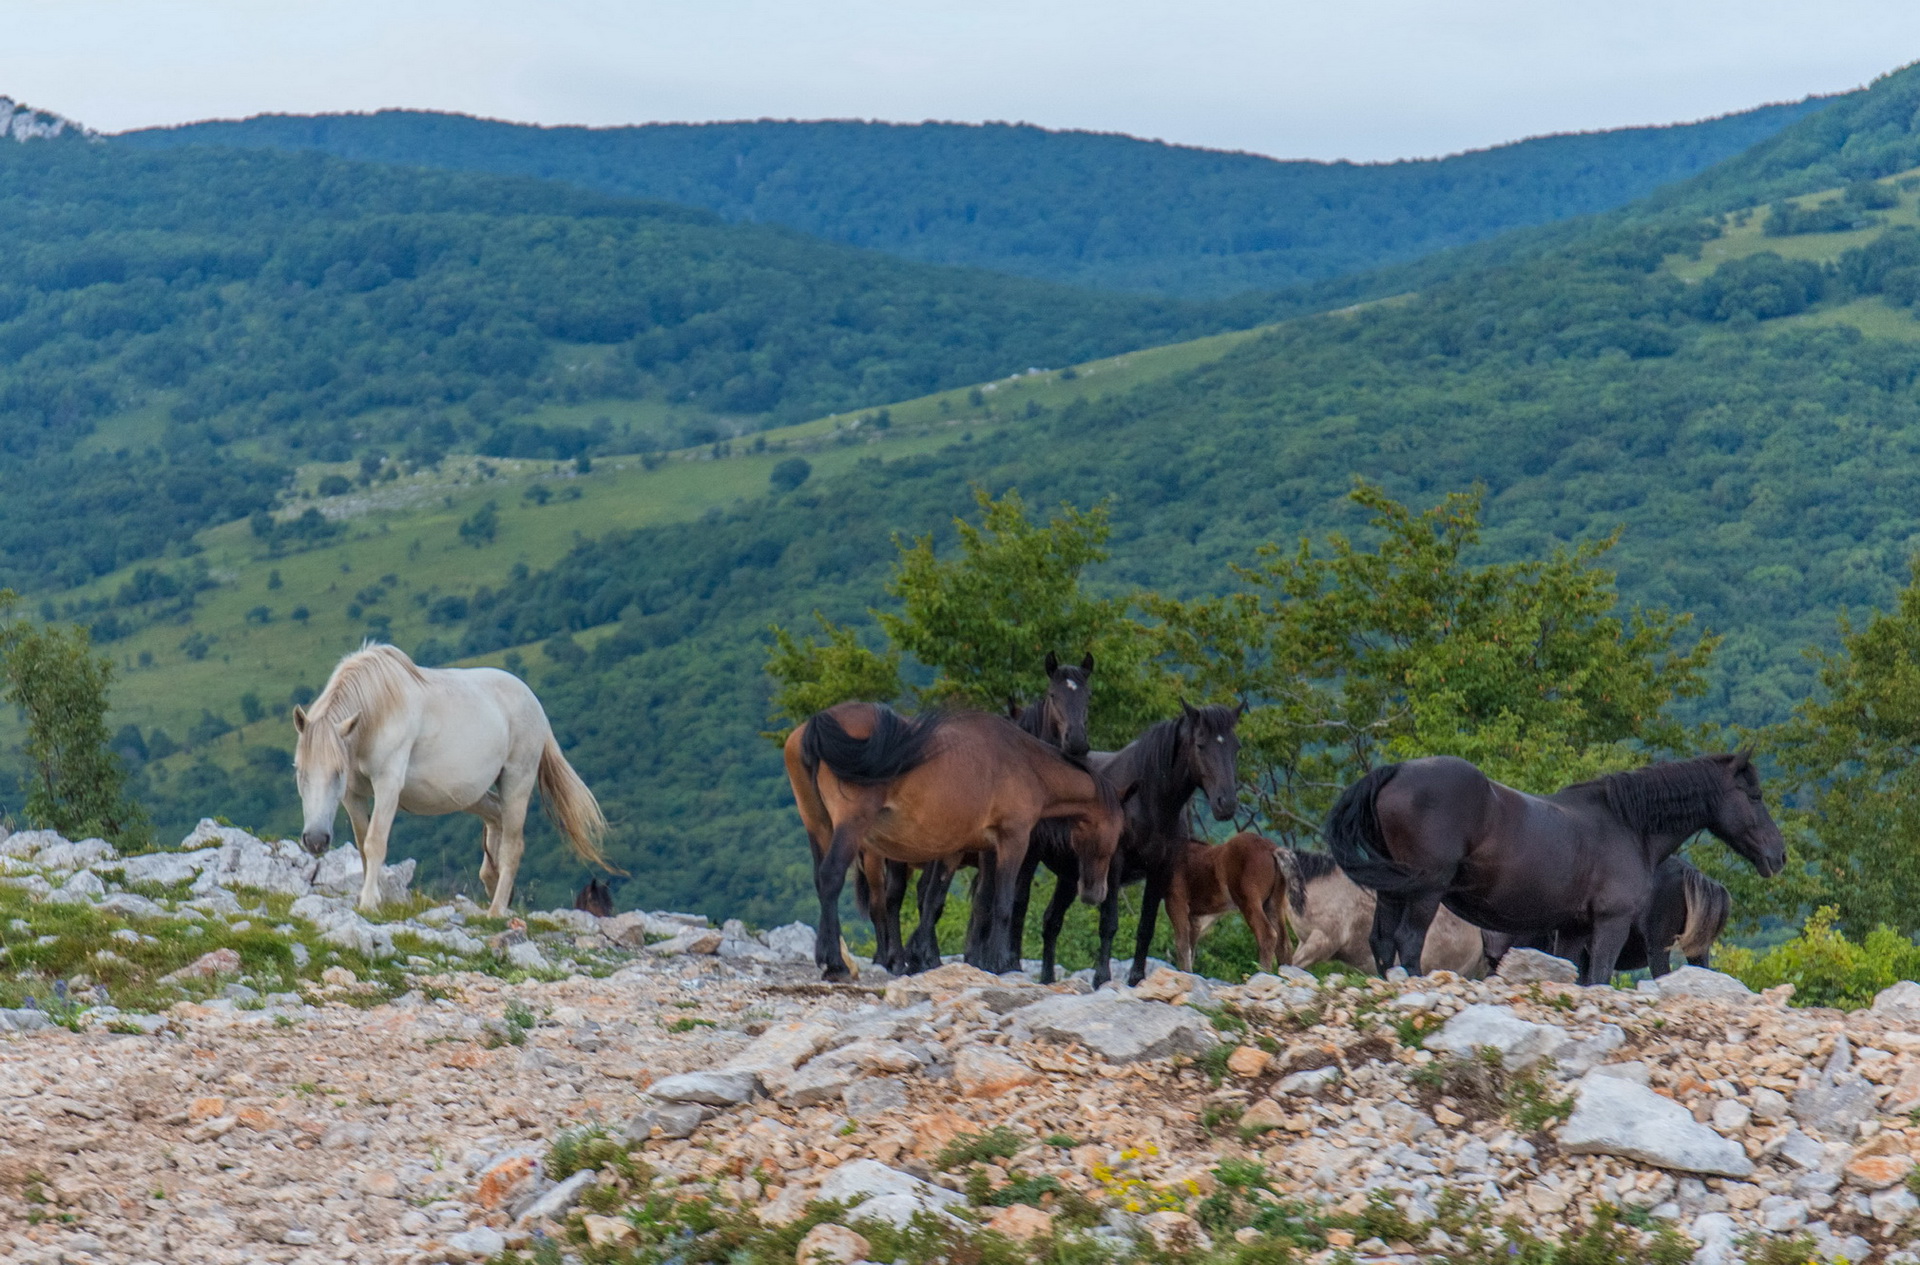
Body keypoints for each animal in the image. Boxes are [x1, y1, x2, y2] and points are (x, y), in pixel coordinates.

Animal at [289, 648, 606, 913]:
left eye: (337, 772)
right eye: (299, 771)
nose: (315, 840)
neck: (379, 711)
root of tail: (534, 703)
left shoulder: (388, 785)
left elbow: (375, 842)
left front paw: (368, 902)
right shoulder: (354, 795)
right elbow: (362, 843)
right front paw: (374, 897)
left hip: (518, 782)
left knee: (512, 845)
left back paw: (496, 911)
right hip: (473, 794)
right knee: (496, 817)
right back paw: (492, 883)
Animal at [783, 702, 1121, 978]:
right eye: (1115, 835)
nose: (1095, 893)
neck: (1024, 763)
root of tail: (815, 726)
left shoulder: (957, 848)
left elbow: (936, 900)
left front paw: (923, 957)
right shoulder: (1012, 841)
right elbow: (1002, 902)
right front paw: (998, 962)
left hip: (819, 827)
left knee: (824, 880)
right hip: (851, 828)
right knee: (833, 878)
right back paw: (837, 964)